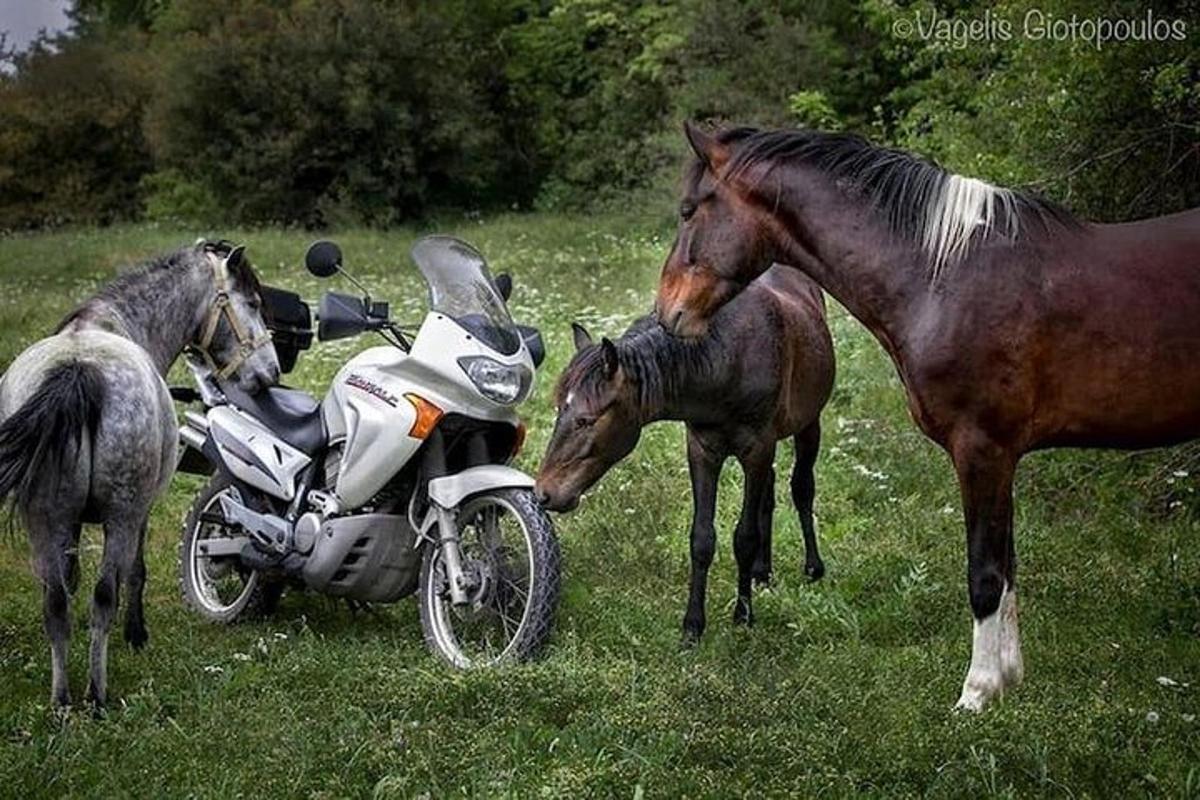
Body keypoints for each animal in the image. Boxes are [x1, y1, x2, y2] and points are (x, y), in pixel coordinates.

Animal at [0, 241, 276, 710]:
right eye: (254, 303)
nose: (270, 373)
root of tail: (79, 369)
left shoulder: (69, 523)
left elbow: (69, 581)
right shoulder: (141, 512)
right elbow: (135, 573)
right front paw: (136, 634)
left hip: (44, 519)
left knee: (54, 601)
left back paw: (62, 700)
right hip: (123, 515)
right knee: (104, 593)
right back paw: (96, 695)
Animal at [537, 266, 835, 642]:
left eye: (586, 420)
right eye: (559, 409)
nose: (543, 493)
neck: (726, 361)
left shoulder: (756, 449)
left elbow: (745, 536)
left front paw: (743, 615)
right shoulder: (702, 452)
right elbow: (702, 539)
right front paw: (693, 625)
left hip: (808, 422)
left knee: (801, 487)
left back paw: (812, 567)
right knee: (769, 493)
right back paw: (762, 572)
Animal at [657, 122, 1200, 710]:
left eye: (688, 210)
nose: (667, 311)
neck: (944, 276)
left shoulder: (982, 450)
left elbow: (985, 574)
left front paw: (977, 692)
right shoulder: (1003, 457)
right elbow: (1008, 566)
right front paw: (1010, 677)